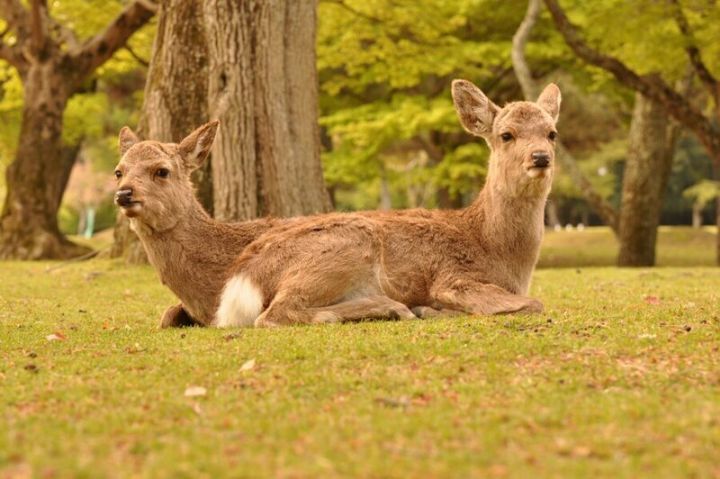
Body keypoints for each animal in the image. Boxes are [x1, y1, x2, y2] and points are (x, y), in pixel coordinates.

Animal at [214, 80, 564, 328]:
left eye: (552, 133)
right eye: (506, 135)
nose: (540, 157)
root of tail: (242, 278)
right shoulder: (452, 278)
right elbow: (535, 303)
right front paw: (432, 309)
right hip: (344, 247)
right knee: (276, 313)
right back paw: (394, 308)